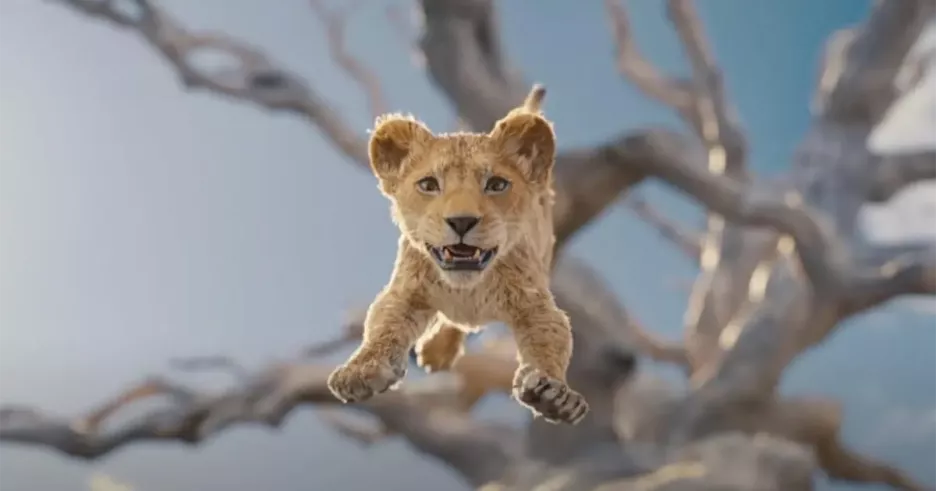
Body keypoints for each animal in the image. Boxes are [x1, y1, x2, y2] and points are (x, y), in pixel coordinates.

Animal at [326, 85, 588, 424]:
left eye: (497, 184)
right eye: (428, 184)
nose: (462, 221)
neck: (468, 288)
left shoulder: (536, 304)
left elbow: (550, 342)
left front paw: (554, 394)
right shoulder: (405, 292)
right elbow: (382, 327)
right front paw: (360, 371)